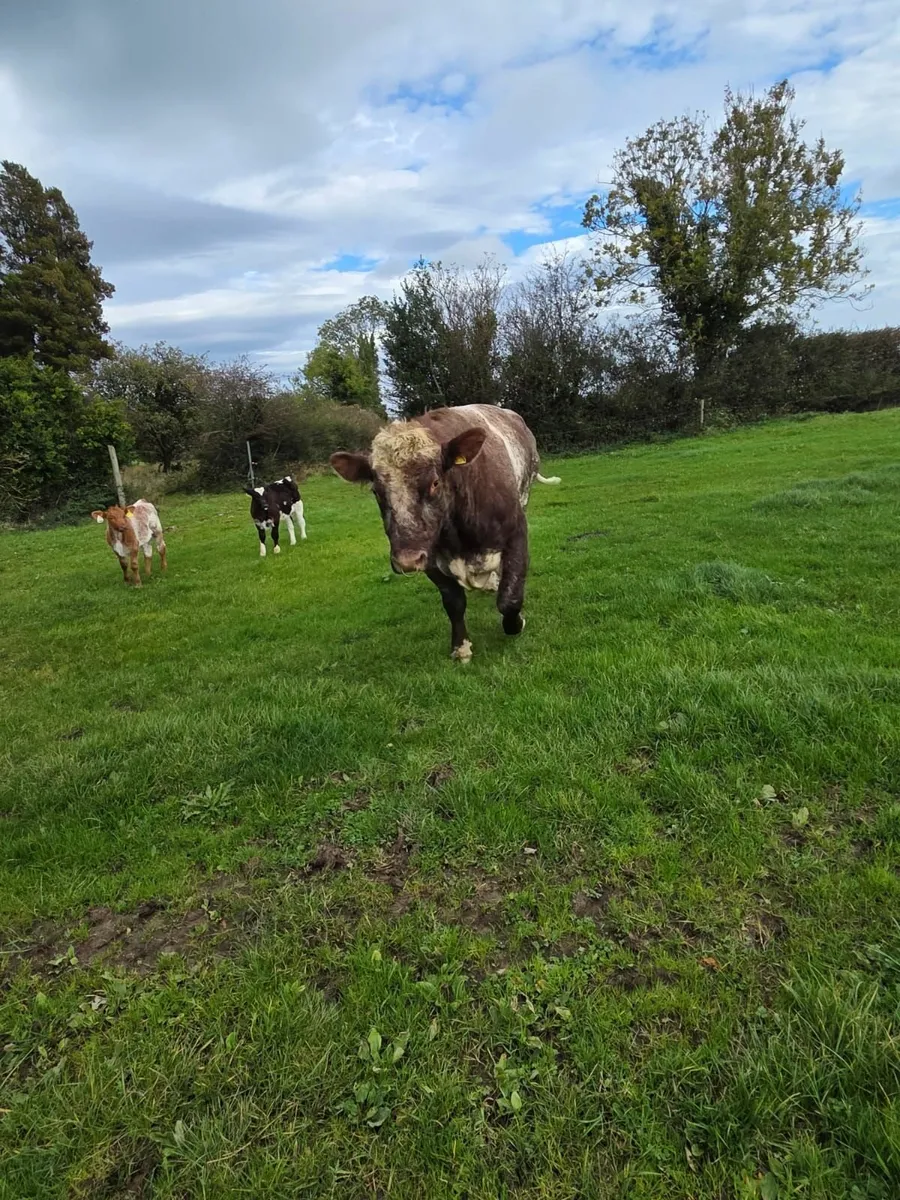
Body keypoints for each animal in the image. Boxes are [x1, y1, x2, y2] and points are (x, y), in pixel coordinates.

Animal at [330, 404, 559, 661]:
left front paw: (517, 623)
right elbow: (453, 602)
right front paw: (461, 647)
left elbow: (510, 598)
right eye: (376, 491)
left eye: (435, 483)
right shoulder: (429, 556)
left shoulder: (516, 533)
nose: (406, 560)